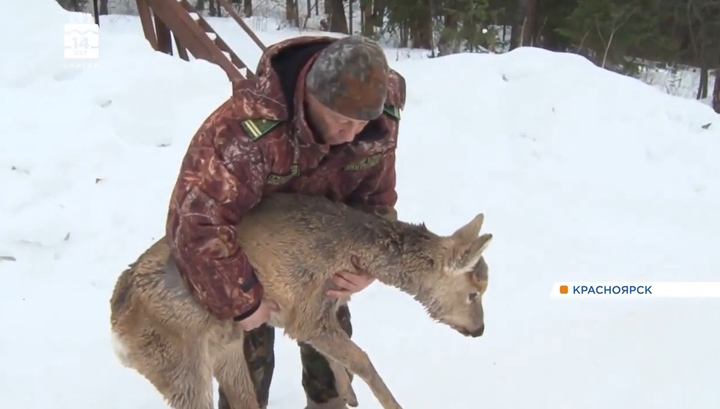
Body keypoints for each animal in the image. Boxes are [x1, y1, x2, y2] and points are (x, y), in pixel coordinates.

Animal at [109, 193, 492, 408]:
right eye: (473, 293)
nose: (480, 330)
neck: (348, 251)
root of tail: (117, 334)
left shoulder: (306, 310)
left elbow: (338, 353)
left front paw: (347, 394)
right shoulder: (305, 309)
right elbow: (361, 359)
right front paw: (392, 405)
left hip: (225, 352)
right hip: (179, 368)